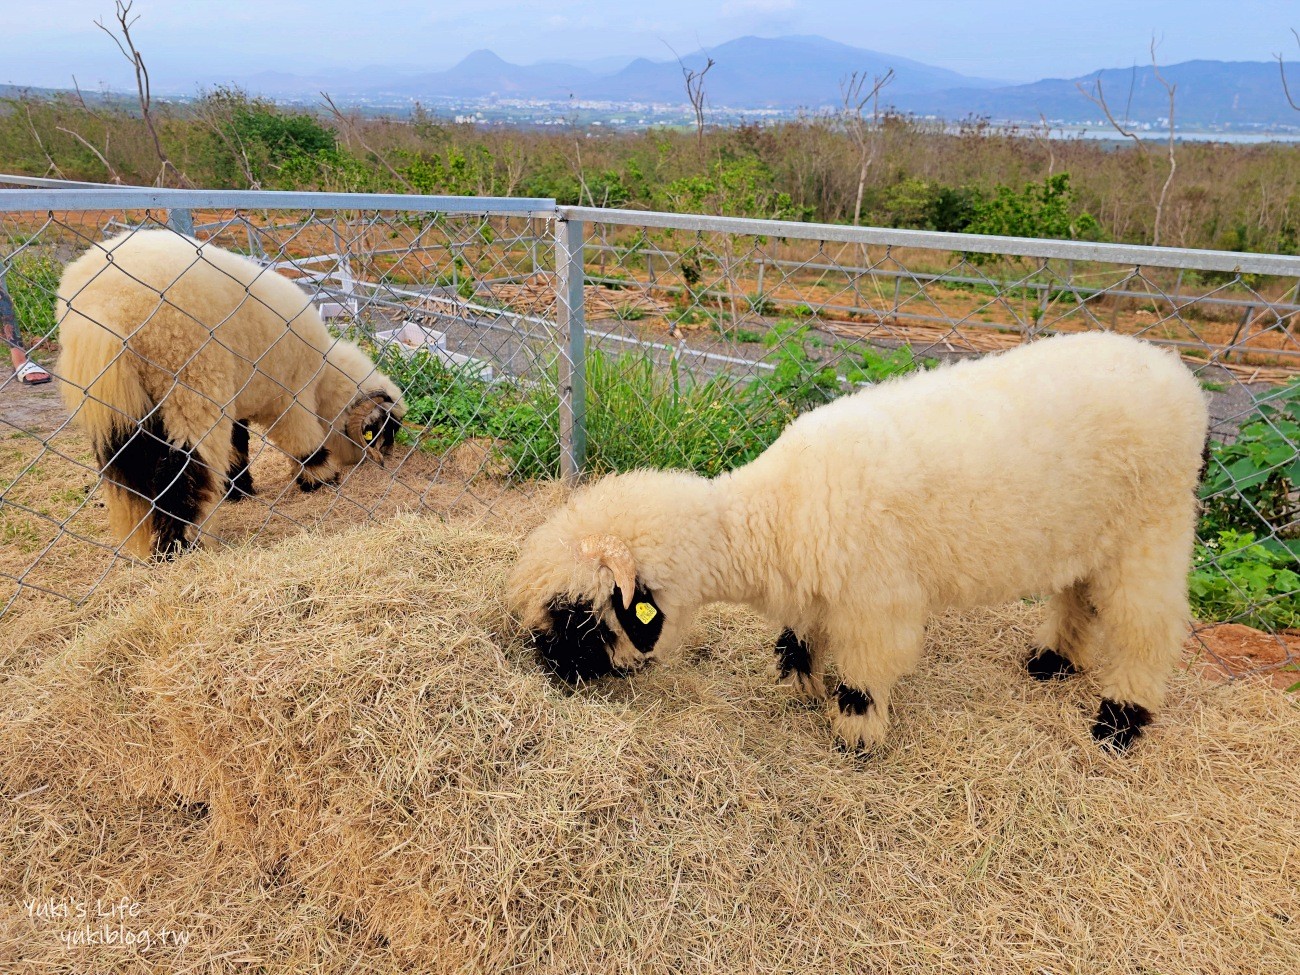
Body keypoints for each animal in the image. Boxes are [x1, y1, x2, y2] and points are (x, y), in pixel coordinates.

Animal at [55, 230, 403, 561]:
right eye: (381, 432)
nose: (385, 462)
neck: (323, 379)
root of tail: (105, 303)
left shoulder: (238, 402)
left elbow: (237, 445)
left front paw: (239, 490)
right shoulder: (292, 397)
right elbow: (304, 441)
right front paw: (320, 478)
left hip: (124, 404)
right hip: (190, 381)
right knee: (185, 469)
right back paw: (181, 548)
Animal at [506, 332, 1206, 754]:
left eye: (577, 616)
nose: (548, 674)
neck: (774, 514)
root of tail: (1178, 375)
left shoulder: (877, 599)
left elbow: (865, 672)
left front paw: (855, 734)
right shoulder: (818, 585)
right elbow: (798, 637)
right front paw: (797, 681)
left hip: (1155, 528)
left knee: (1148, 628)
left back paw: (1119, 720)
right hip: (1091, 534)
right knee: (1078, 595)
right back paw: (1053, 661)